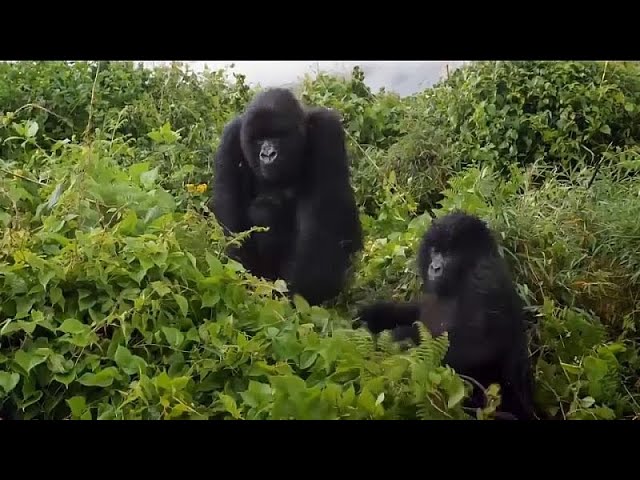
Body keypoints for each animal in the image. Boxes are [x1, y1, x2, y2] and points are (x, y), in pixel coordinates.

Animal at [209, 88, 362, 306]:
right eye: (259, 139)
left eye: (278, 135)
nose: (268, 154)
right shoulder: (230, 139)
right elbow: (232, 223)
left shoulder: (326, 130)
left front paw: (302, 294)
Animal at [356, 211, 536, 420]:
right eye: (435, 250)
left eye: (449, 253)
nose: (434, 267)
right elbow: (415, 312)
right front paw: (373, 314)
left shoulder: (485, 281)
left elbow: (479, 347)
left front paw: (398, 340)